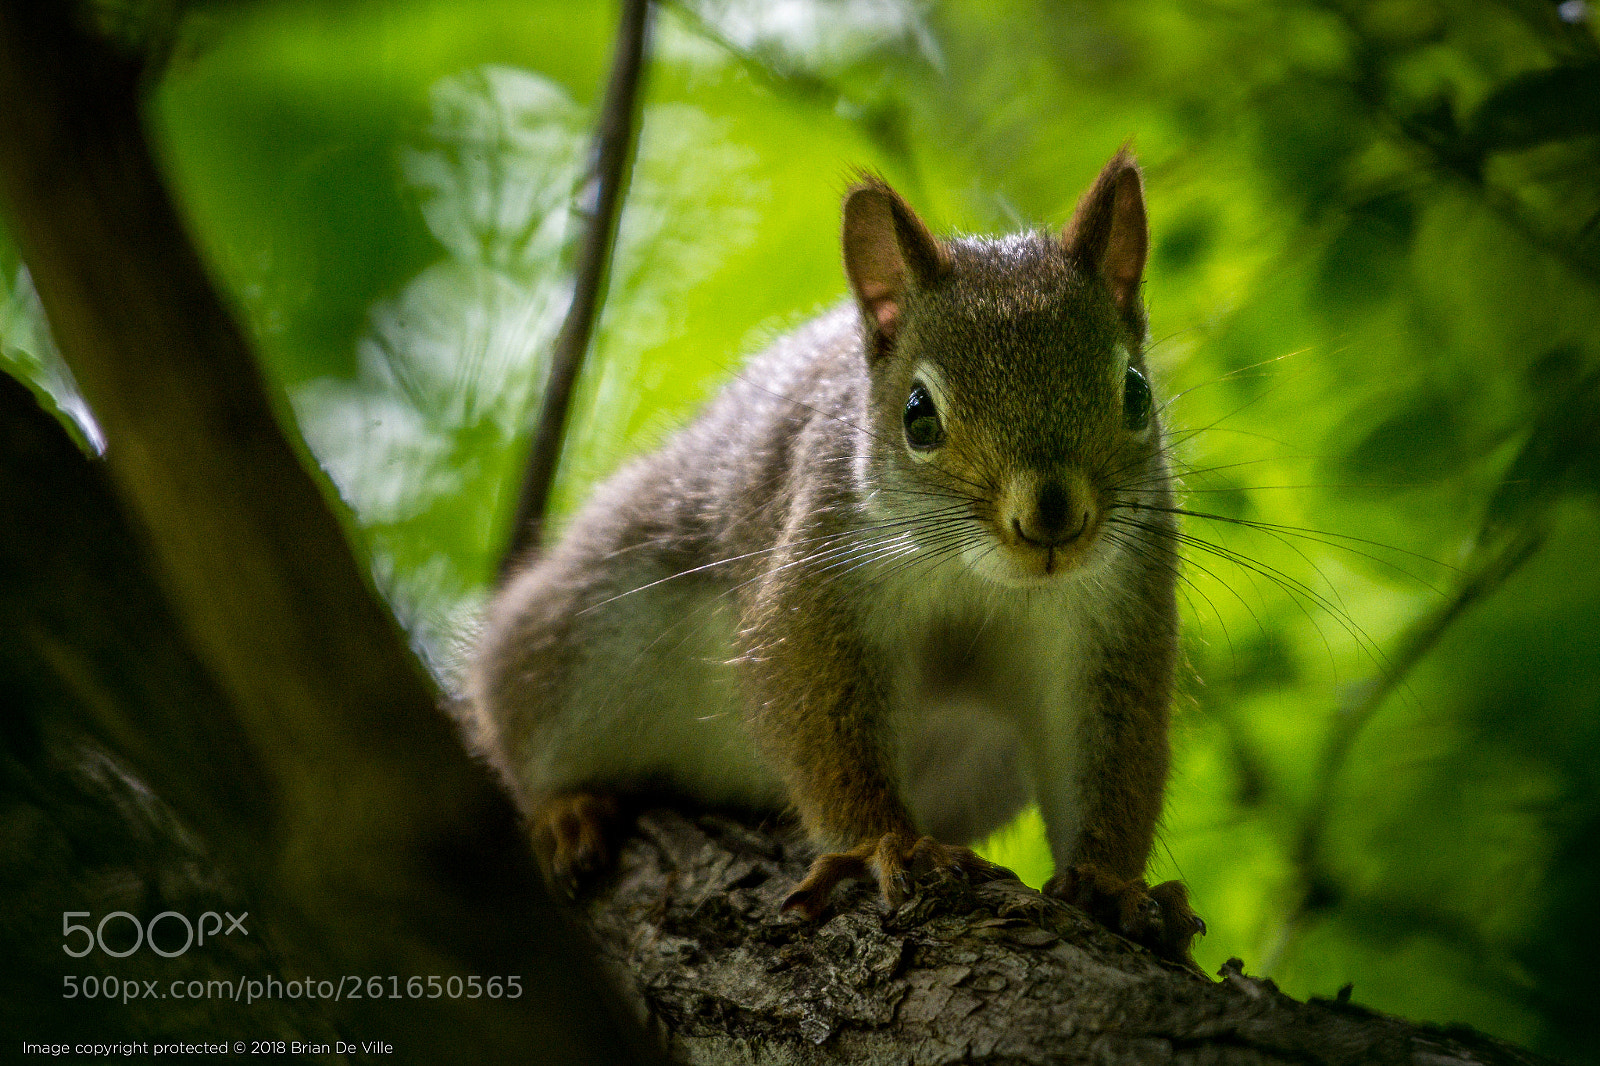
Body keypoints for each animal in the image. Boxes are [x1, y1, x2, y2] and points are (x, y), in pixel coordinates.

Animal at [467, 149, 1205, 968]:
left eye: (1135, 393)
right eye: (918, 415)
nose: (1051, 519)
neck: (981, 579)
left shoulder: (1114, 614)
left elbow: (1110, 750)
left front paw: (1114, 886)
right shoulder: (816, 579)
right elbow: (816, 714)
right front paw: (891, 844)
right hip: (573, 644)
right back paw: (567, 809)